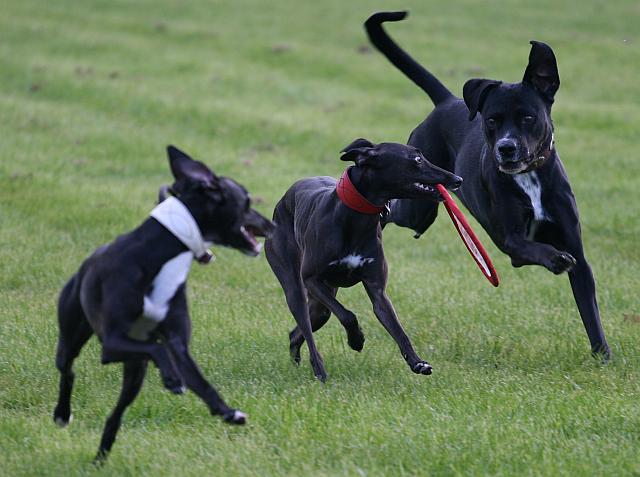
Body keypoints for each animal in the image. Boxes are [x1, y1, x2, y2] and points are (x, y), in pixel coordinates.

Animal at [53, 145, 275, 461]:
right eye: (245, 200)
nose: (273, 224)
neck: (164, 254)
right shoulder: (112, 343)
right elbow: (157, 348)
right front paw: (172, 379)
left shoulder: (177, 342)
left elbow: (196, 377)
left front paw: (226, 411)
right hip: (73, 333)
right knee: (67, 369)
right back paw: (62, 414)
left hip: (134, 373)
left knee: (115, 415)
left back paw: (101, 456)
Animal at [265, 138, 462, 381]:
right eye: (416, 159)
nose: (457, 180)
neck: (354, 217)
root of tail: (284, 199)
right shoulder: (311, 279)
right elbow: (348, 315)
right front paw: (356, 340)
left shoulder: (378, 290)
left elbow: (398, 330)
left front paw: (417, 363)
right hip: (295, 286)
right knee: (306, 325)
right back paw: (320, 371)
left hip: (321, 304)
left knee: (298, 331)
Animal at [365, 11, 610, 358]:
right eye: (491, 120)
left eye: (528, 117)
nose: (506, 148)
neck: (528, 177)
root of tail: (447, 101)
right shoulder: (511, 241)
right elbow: (537, 248)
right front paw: (555, 258)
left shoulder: (577, 250)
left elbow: (589, 309)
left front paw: (604, 355)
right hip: (419, 207)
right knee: (391, 210)